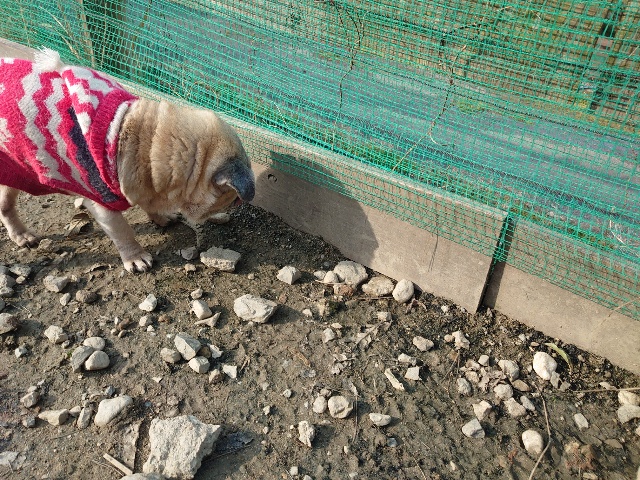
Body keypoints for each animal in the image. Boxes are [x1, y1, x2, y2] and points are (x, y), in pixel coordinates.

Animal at [0, 49, 254, 272]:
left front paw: (162, 217)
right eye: (232, 199)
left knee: (6, 205)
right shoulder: (102, 203)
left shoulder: (147, 183)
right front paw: (136, 258)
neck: (144, 139)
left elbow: (149, 204)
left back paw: (22, 236)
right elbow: (122, 231)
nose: (240, 202)